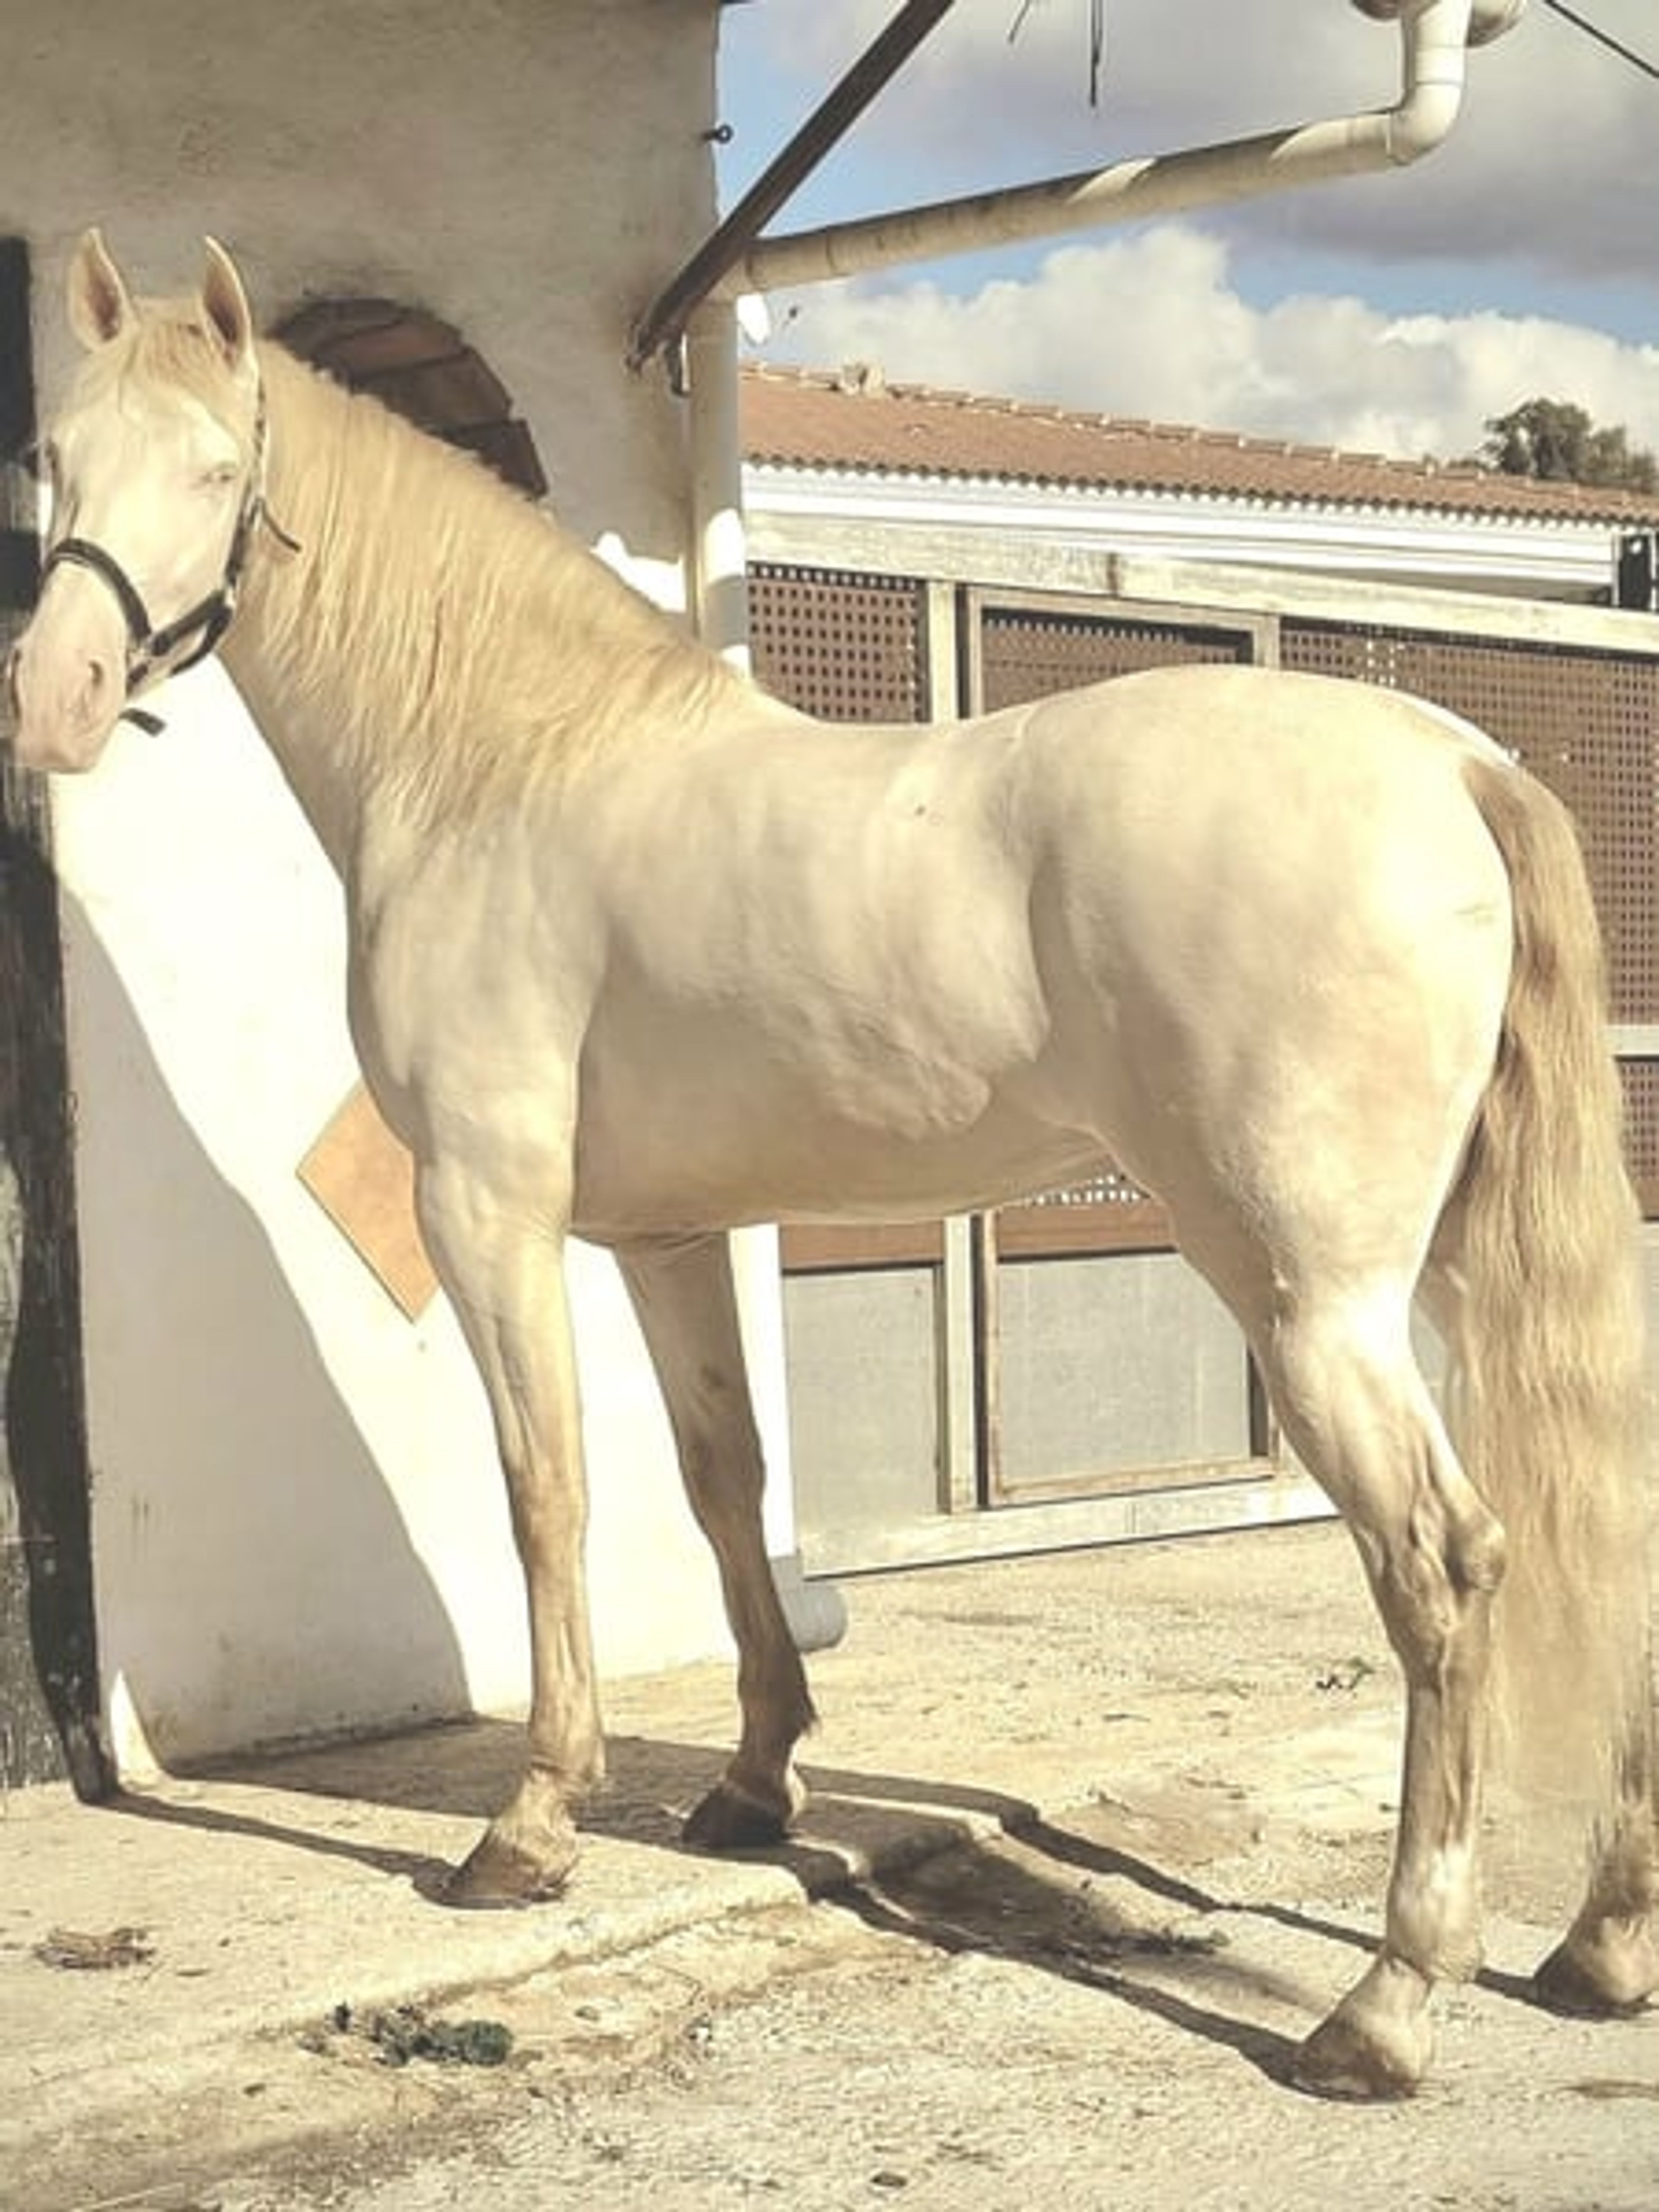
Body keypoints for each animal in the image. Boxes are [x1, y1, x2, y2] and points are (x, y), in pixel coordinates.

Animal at [7, 232, 1654, 2100]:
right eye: (56, 457)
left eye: (220, 471)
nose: (52, 701)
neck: (507, 763)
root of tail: (1456, 760)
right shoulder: (665, 1238)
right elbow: (723, 1486)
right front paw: (750, 1781)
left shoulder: (489, 1213)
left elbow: (546, 1492)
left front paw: (530, 1825)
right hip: (1446, 1269)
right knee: (1610, 1521)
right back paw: (1599, 1944)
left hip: (1316, 1301)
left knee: (1444, 1562)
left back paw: (1384, 2004)